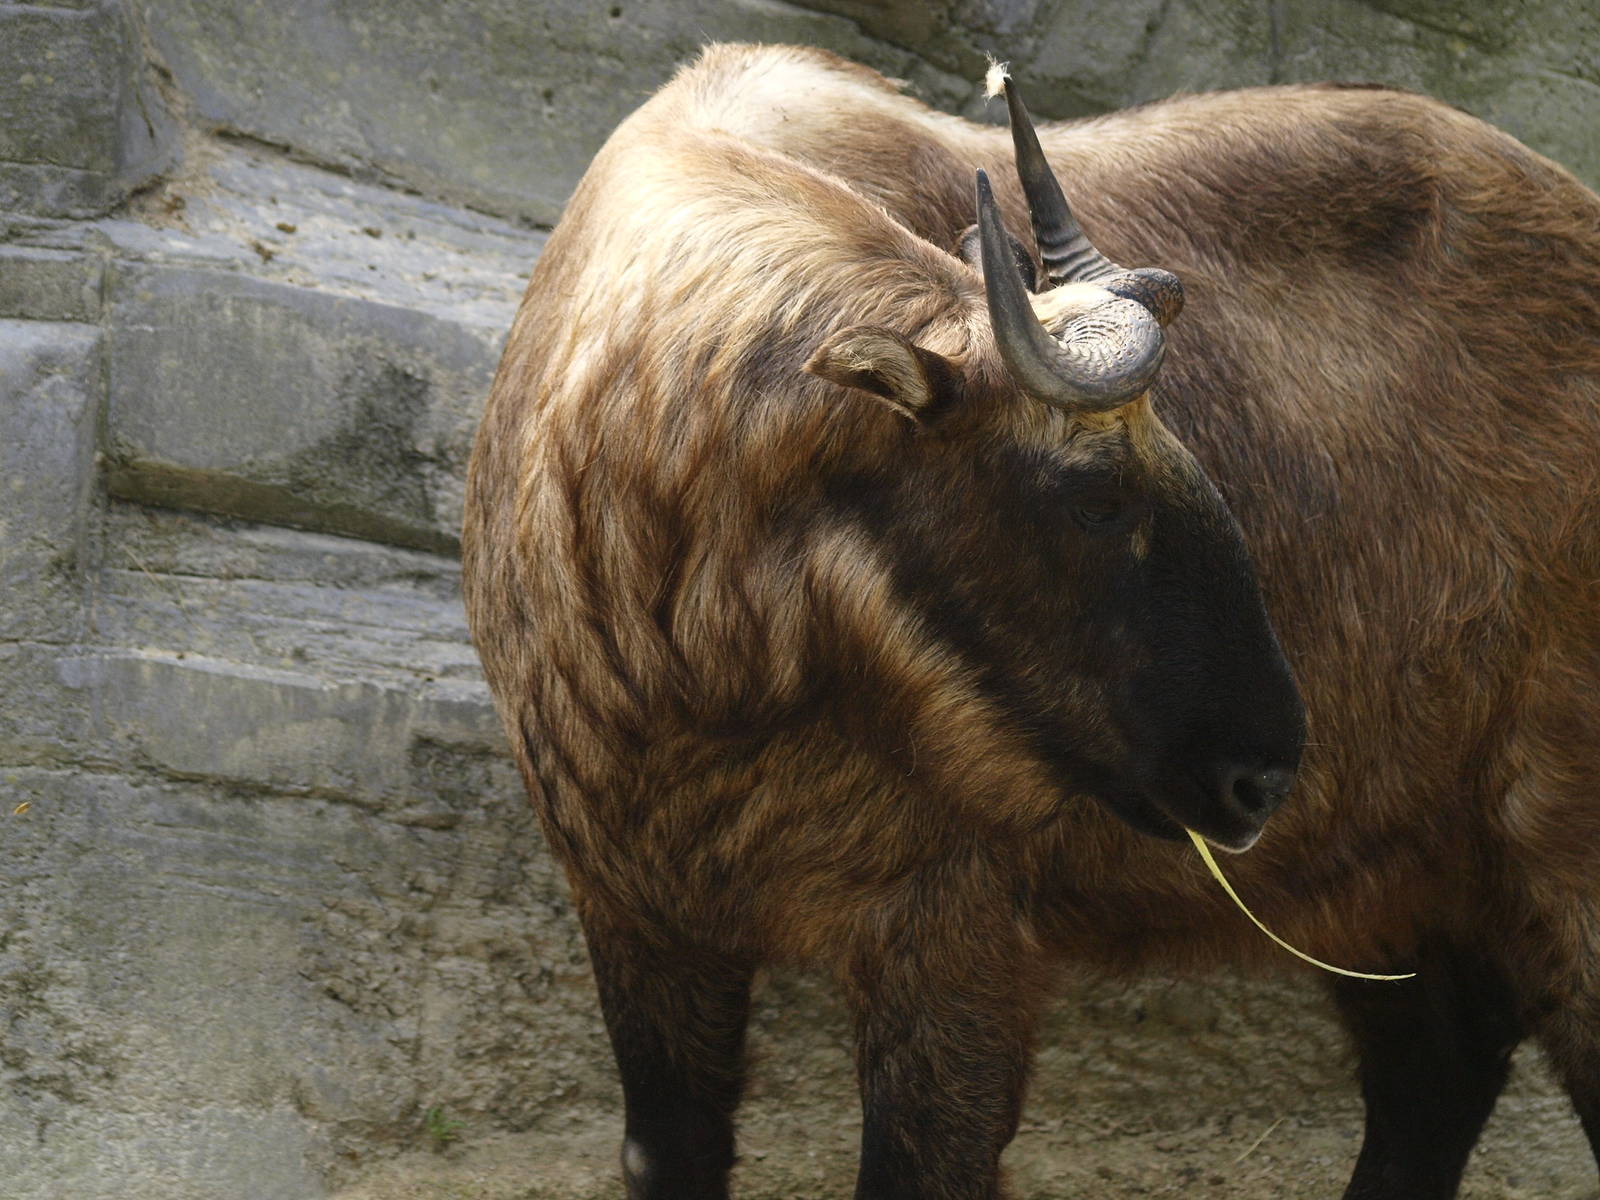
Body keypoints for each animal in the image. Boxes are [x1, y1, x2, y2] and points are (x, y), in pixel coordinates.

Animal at [462, 42, 1600, 1200]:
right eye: (1094, 497)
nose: (1262, 775)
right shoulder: (638, 918)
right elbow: (667, 1155)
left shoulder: (951, 945)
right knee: (1440, 1066)